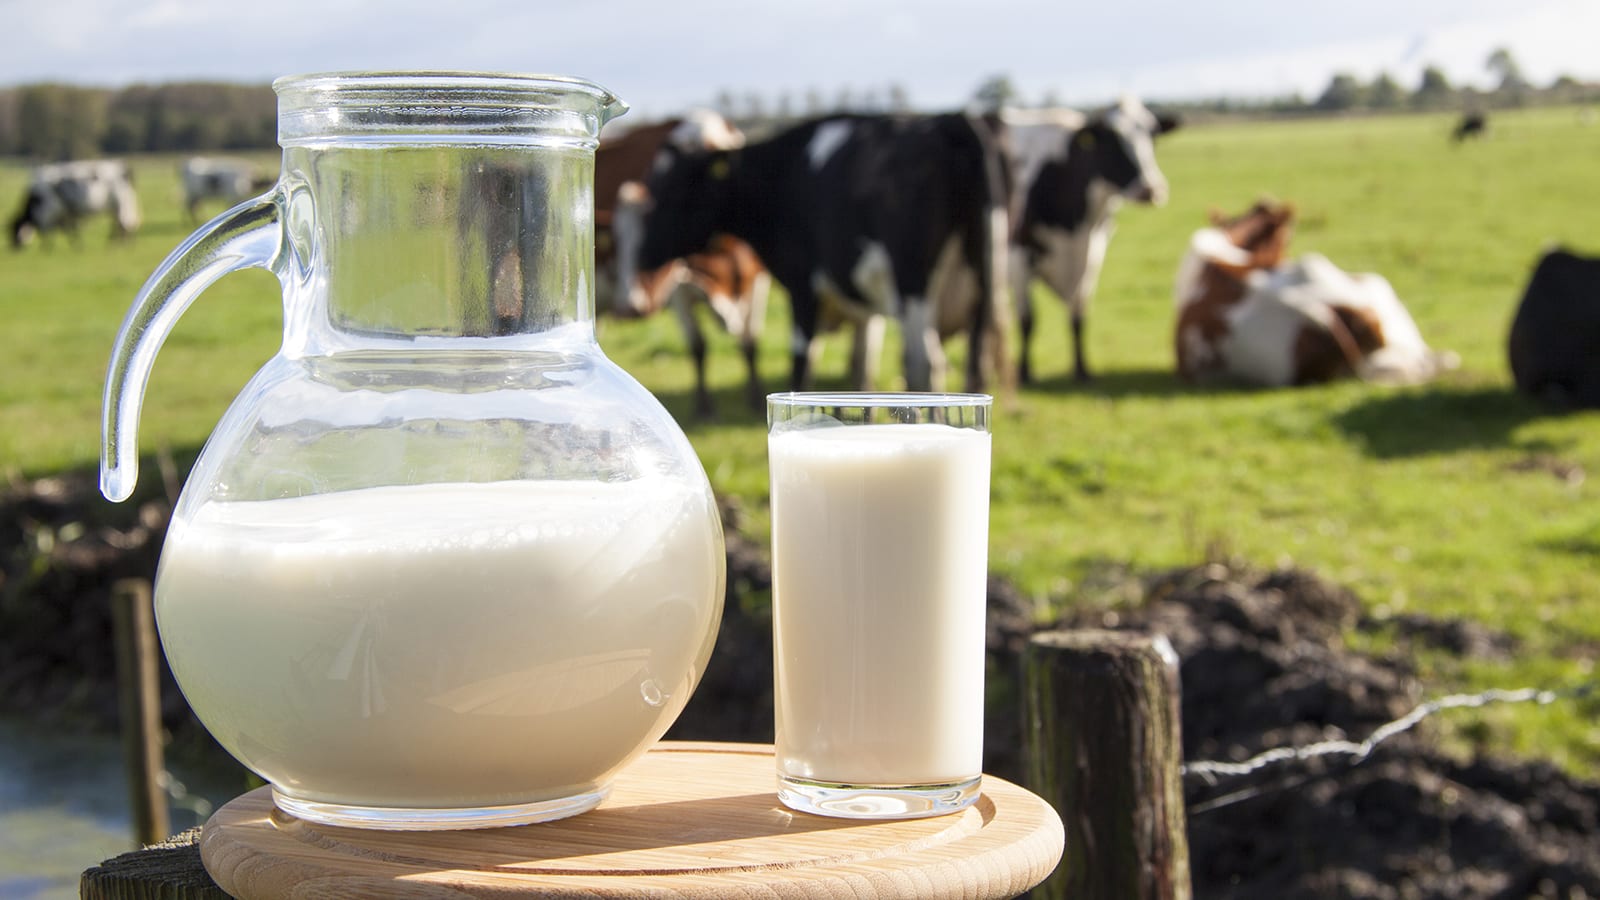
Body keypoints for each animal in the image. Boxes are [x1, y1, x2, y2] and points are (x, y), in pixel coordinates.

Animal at [9, 159, 140, 246]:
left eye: (14, 230)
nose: (13, 248)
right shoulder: (67, 213)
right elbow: (72, 229)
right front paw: (76, 245)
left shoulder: (50, 213)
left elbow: (50, 232)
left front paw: (48, 248)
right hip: (118, 206)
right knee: (121, 224)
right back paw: (119, 244)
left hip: (120, 204)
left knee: (122, 223)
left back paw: (117, 244)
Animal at [617, 110, 1004, 390]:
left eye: (675, 190)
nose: (643, 255)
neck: (779, 177)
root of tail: (950, 120)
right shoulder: (865, 302)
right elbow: (861, 372)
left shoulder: (803, 284)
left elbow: (802, 363)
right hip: (981, 281)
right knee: (970, 368)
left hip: (913, 280)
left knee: (925, 363)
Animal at [1004, 96, 1184, 379]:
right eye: (1111, 139)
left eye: (1153, 135)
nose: (1151, 190)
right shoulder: (1018, 256)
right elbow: (1028, 321)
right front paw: (1025, 373)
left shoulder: (1091, 255)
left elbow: (1079, 315)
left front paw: (1081, 370)